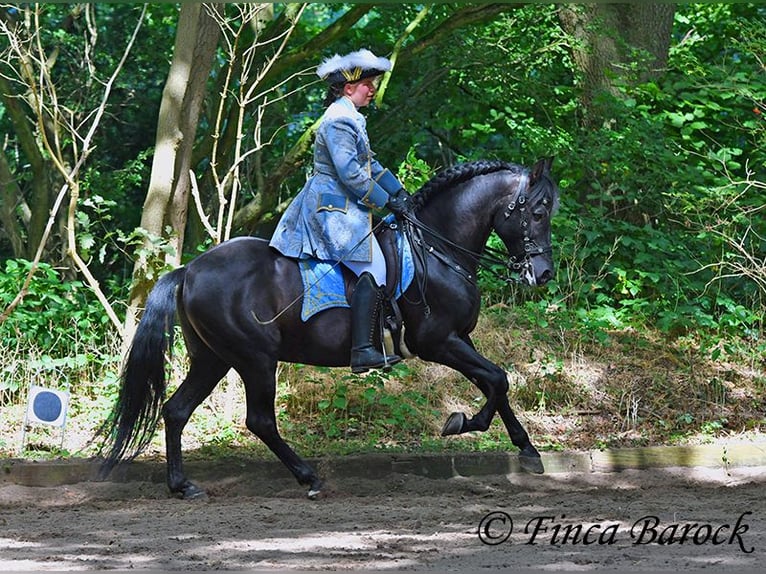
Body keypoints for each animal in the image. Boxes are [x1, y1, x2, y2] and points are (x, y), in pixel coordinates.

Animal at [99, 158, 560, 500]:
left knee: (176, 410)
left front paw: (525, 448)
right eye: (537, 213)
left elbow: (495, 382)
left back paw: (182, 485)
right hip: (255, 360)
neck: (436, 248)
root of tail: (189, 270)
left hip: (213, 359)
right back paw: (309, 478)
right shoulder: (438, 342)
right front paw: (464, 423)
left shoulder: (460, 339)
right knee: (260, 421)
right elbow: (497, 379)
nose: (543, 273)